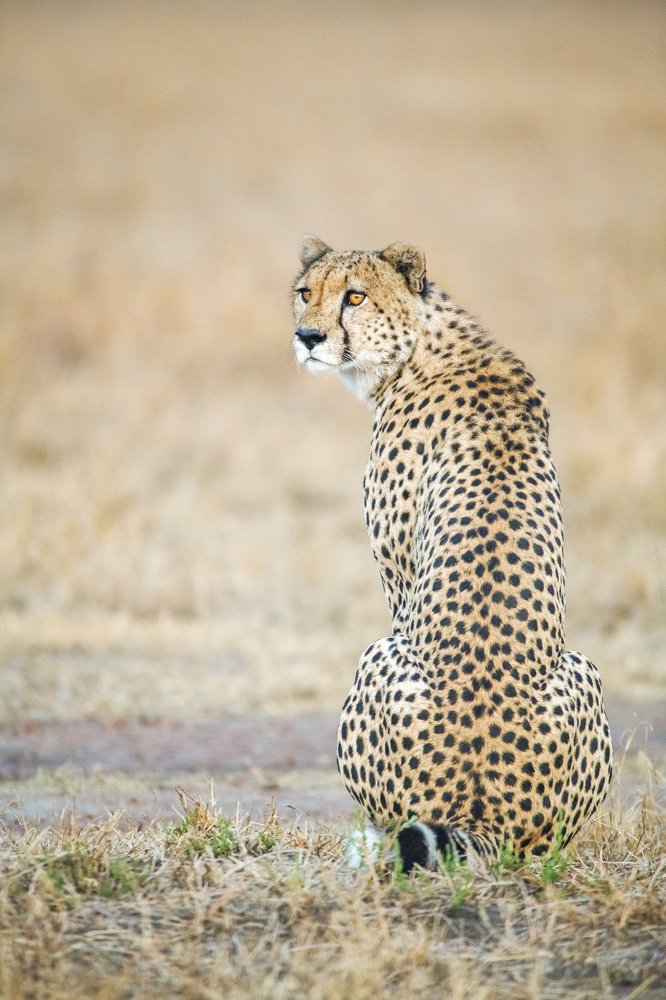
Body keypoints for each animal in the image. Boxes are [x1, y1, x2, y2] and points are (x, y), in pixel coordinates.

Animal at [292, 235, 613, 872]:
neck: (420, 349)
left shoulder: (399, 578)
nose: (307, 336)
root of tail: (480, 814)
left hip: (380, 656)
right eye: (305, 292)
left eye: (354, 297)